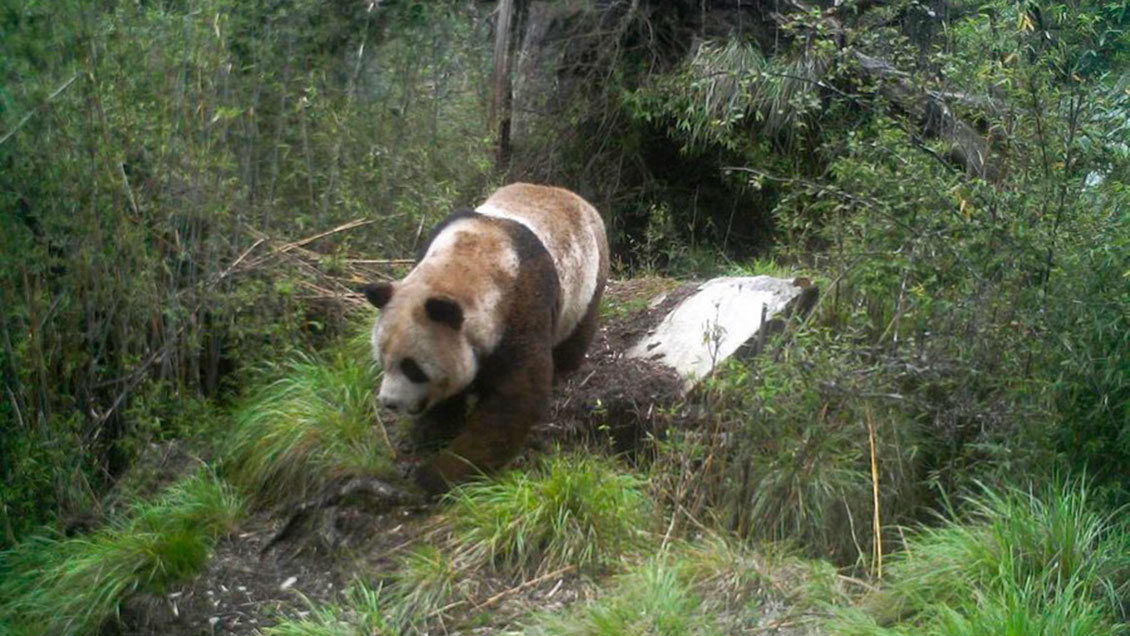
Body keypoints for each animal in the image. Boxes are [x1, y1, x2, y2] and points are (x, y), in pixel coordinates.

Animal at [361, 183, 609, 496]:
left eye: (413, 369)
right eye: (383, 361)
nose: (389, 402)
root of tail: (569, 194)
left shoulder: (522, 308)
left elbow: (514, 402)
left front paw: (434, 474)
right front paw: (431, 431)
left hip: (589, 275)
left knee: (577, 331)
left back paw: (565, 366)